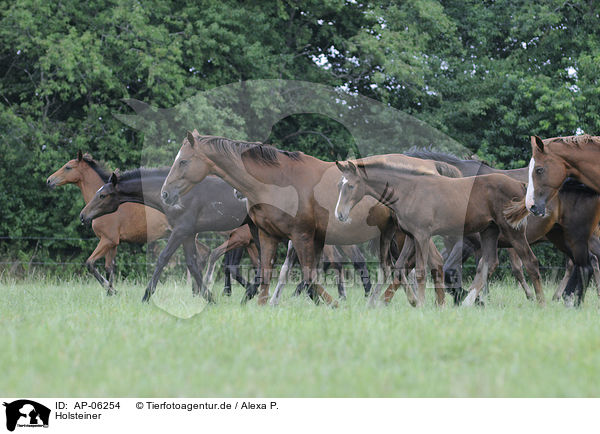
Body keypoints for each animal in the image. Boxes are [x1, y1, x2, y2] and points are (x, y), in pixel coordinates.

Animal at [45, 152, 169, 294]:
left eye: (68, 167)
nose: (49, 181)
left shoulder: (108, 240)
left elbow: (90, 263)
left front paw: (110, 289)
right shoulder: (113, 244)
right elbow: (109, 268)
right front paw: (112, 291)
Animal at [78, 166, 251, 302]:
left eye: (102, 195)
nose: (82, 216)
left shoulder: (180, 230)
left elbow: (163, 258)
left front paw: (146, 296)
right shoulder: (188, 234)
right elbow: (192, 263)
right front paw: (209, 297)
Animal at [159, 131, 460, 306]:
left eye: (183, 161)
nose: (165, 193)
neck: (277, 182)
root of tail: (432, 166)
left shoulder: (301, 236)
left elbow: (308, 275)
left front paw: (333, 303)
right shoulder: (269, 236)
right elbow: (268, 275)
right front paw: (263, 305)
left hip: (408, 233)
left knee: (423, 263)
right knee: (412, 266)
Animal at [336, 158, 548, 306]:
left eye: (351, 186)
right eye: (340, 185)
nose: (339, 214)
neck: (409, 190)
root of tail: (520, 185)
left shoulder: (422, 235)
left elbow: (421, 271)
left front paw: (420, 304)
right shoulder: (412, 236)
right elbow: (400, 267)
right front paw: (411, 301)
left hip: (513, 231)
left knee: (530, 262)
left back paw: (541, 303)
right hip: (490, 231)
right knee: (488, 263)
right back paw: (467, 303)